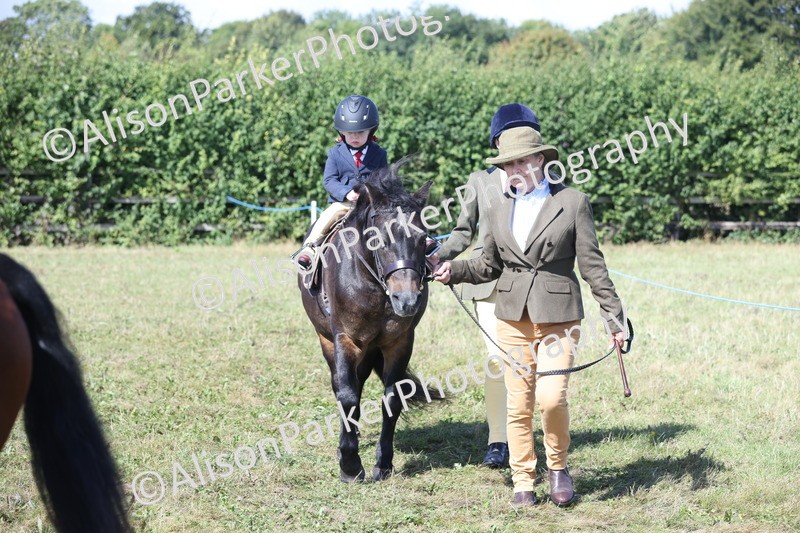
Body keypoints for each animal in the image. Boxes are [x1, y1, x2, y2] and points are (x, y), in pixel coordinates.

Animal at [298, 161, 444, 482]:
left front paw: (383, 464)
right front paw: (350, 466)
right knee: (342, 386)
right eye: (379, 239)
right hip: (327, 340)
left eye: (422, 239)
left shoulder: (400, 342)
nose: (407, 300)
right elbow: (347, 396)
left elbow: (392, 399)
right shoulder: (346, 339)